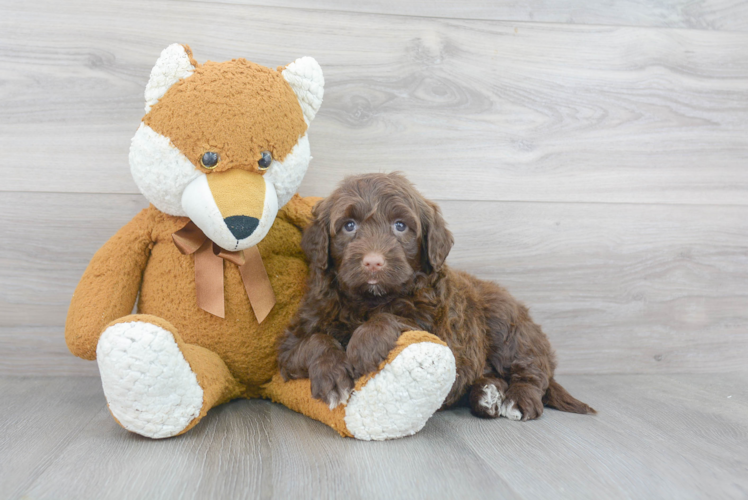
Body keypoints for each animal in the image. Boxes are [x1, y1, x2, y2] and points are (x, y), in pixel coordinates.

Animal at [276, 172, 596, 418]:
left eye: (400, 226)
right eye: (348, 226)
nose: (373, 262)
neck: (369, 299)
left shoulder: (439, 328)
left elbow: (393, 318)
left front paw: (364, 344)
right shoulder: (291, 342)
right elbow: (314, 341)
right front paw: (332, 377)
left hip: (507, 324)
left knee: (532, 372)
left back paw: (517, 400)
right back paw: (487, 394)